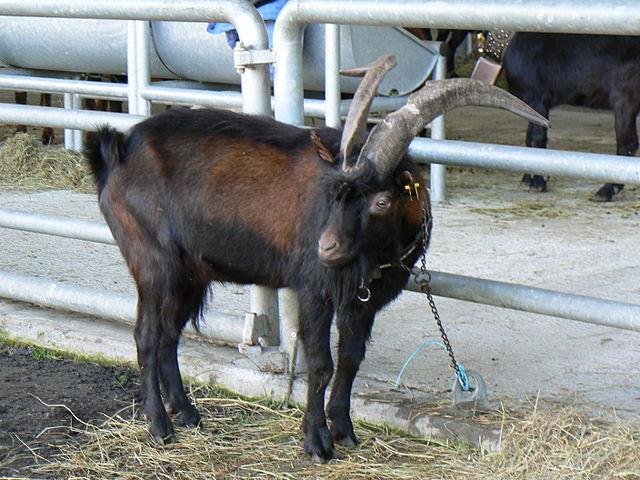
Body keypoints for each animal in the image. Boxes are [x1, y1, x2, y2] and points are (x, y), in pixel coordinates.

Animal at [86, 54, 547, 462]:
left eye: (381, 200)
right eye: (335, 193)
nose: (325, 248)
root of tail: (117, 150)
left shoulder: (364, 300)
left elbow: (351, 361)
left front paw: (345, 431)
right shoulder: (314, 290)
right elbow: (321, 364)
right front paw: (317, 442)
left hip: (190, 275)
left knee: (168, 336)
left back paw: (188, 414)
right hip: (153, 263)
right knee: (147, 336)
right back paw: (160, 427)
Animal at [504, 34, 640, 201]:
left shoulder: (536, 98)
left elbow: (536, 138)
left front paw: (538, 183)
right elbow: (529, 139)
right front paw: (526, 179)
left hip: (624, 97)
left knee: (627, 144)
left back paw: (605, 191)